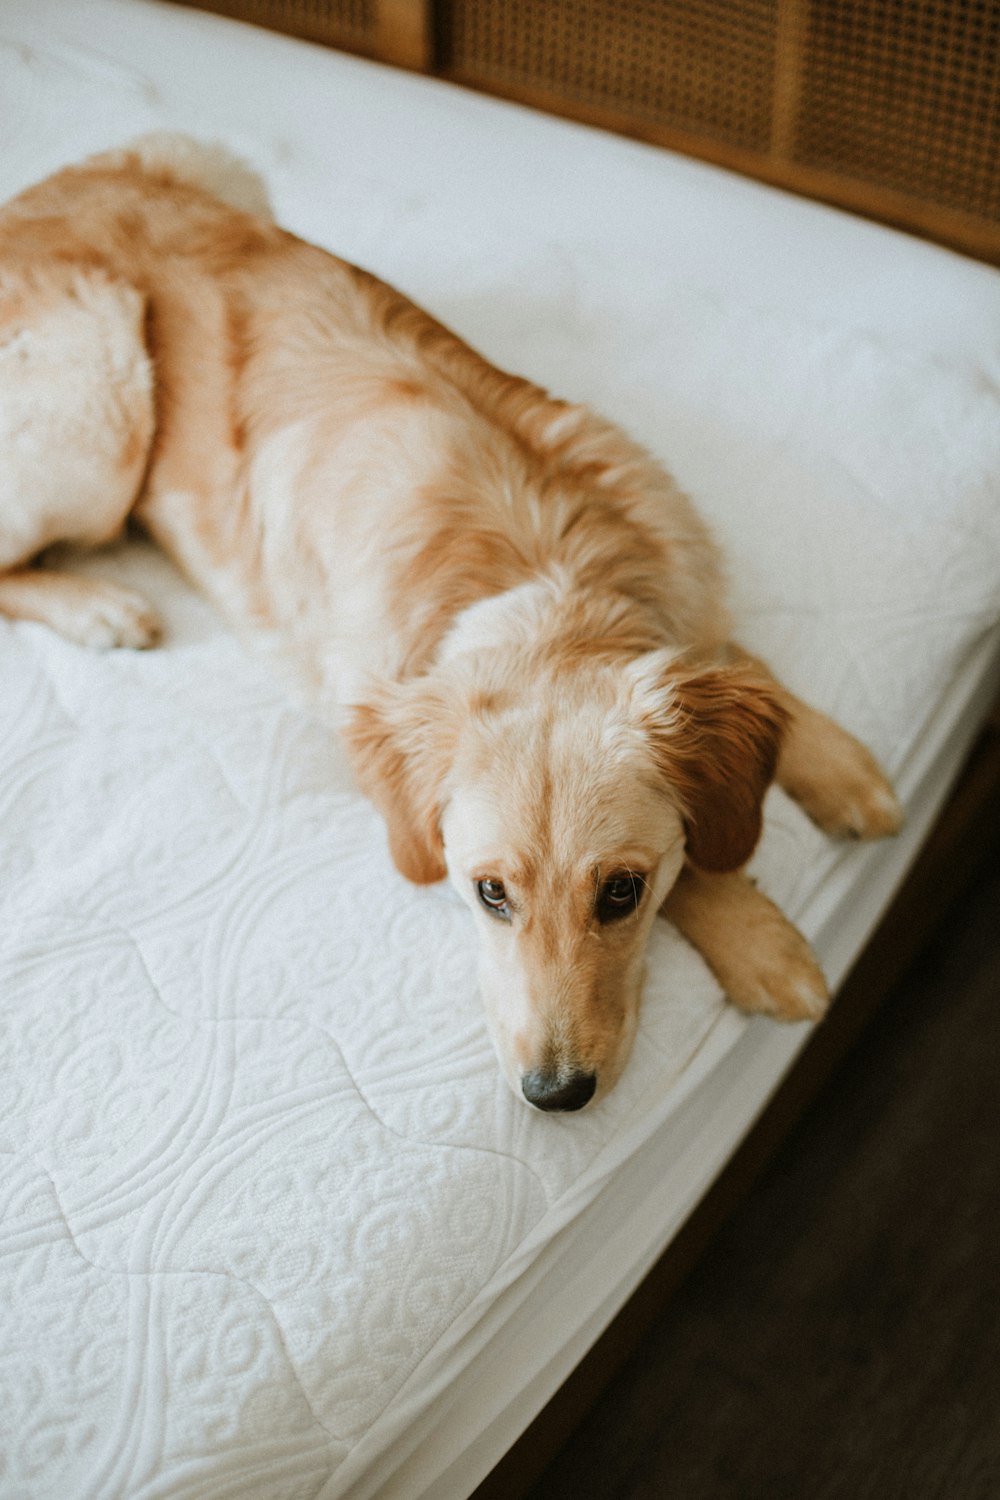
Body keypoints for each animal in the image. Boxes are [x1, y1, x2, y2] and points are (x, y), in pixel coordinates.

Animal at [0, 135, 905, 1110]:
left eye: (621, 891)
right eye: (490, 894)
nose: (556, 1095)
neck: (538, 566)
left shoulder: (685, 585)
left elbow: (745, 664)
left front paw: (840, 769)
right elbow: (704, 862)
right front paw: (762, 941)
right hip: (102, 391)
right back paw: (99, 607)